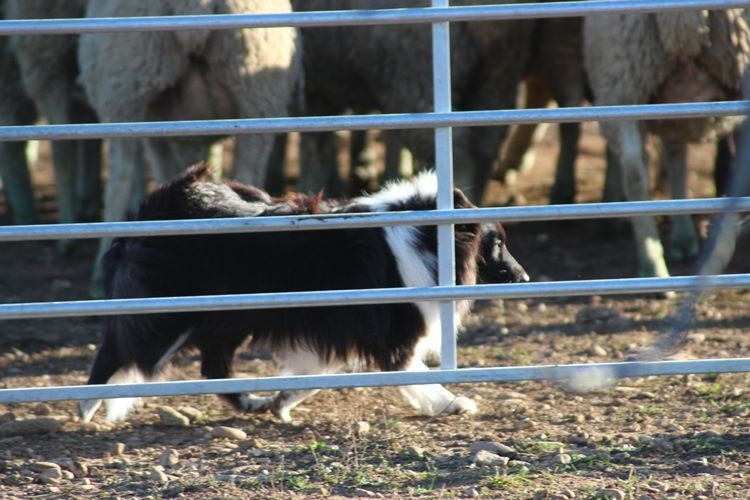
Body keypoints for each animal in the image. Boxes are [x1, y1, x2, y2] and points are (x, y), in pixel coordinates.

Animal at [76, 0, 300, 296]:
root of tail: (194, 7)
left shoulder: (152, 123)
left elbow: (160, 168)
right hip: (258, 91)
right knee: (249, 172)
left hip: (126, 86)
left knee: (120, 177)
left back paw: (99, 276)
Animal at [79, 163, 532, 422]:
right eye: (497, 244)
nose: (525, 278)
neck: (426, 235)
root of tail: (156, 205)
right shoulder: (393, 334)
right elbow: (414, 373)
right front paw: (452, 403)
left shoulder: (341, 329)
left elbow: (314, 375)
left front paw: (282, 403)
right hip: (169, 316)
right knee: (118, 349)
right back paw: (87, 406)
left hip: (227, 318)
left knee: (213, 367)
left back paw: (253, 403)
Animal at [296, 0, 540, 204]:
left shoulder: (310, 88)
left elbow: (313, 150)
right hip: (498, 73)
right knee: (486, 149)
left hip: (416, 73)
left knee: (459, 155)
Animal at [588, 8, 750, 278]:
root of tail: (682, 15)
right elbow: (676, 160)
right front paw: (683, 236)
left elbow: (675, 159)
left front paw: (683, 237)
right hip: (624, 80)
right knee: (636, 174)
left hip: (625, 87)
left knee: (635, 173)